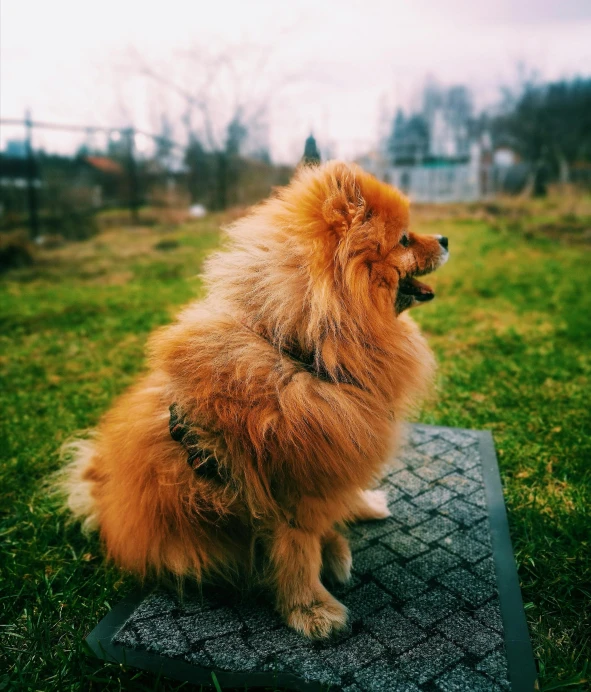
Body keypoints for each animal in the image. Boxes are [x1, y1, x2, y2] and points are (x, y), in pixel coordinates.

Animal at [61, 161, 448, 636]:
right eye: (405, 239)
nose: (446, 239)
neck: (303, 352)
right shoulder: (288, 487)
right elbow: (297, 552)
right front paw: (312, 610)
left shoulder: (329, 454)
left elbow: (329, 509)